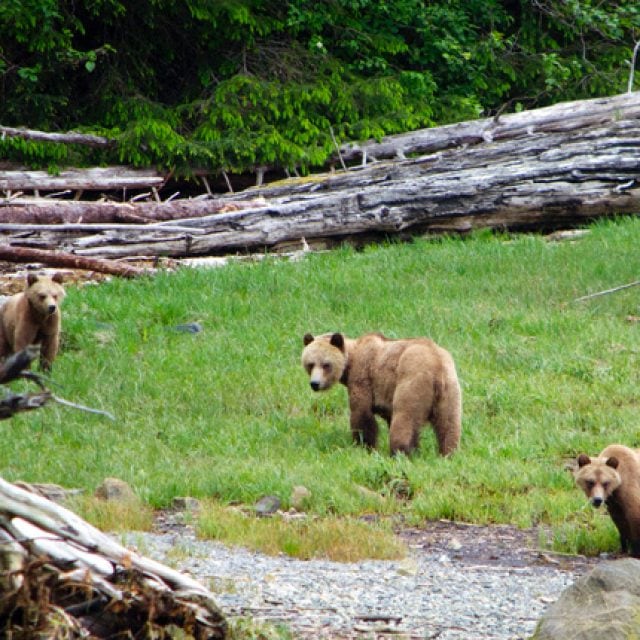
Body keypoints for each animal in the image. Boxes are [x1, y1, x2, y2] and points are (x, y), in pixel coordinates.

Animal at [301, 332, 462, 456]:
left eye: (326, 364)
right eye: (310, 364)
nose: (315, 384)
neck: (350, 364)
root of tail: (436, 365)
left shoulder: (363, 376)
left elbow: (362, 414)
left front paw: (364, 446)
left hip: (412, 381)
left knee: (404, 419)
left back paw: (399, 452)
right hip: (450, 390)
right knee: (449, 425)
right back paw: (448, 453)